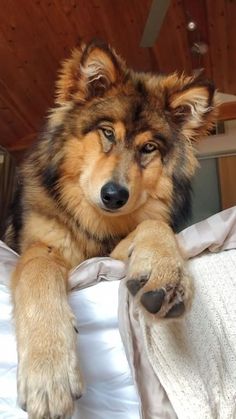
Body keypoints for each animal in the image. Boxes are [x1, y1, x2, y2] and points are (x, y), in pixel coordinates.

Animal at [3, 40, 217, 419]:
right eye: (107, 133)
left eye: (148, 148)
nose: (115, 195)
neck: (93, 224)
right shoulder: (40, 248)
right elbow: (38, 273)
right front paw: (49, 370)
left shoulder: (112, 252)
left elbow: (152, 224)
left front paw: (165, 271)